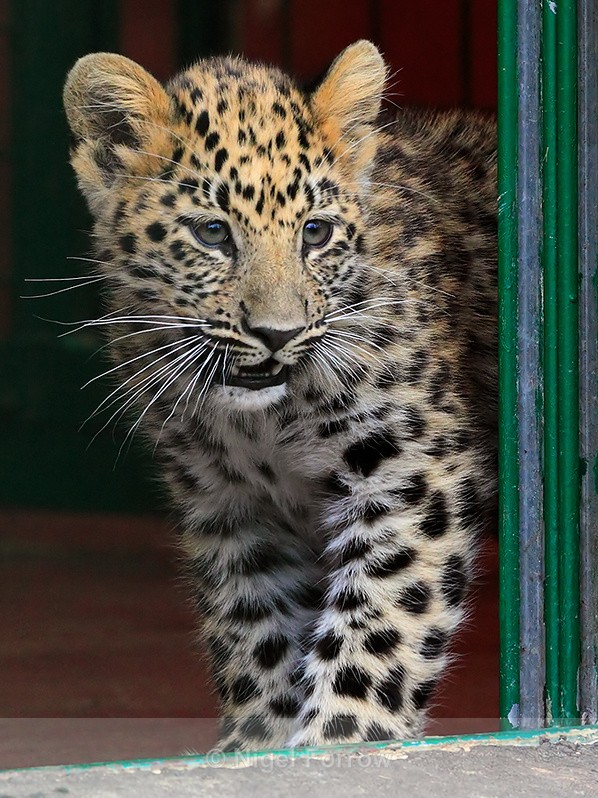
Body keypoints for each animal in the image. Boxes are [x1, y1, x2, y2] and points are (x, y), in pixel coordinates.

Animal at [63, 40, 497, 751]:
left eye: (315, 233)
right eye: (212, 234)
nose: (277, 333)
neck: (263, 423)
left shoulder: (414, 472)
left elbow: (384, 616)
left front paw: (344, 736)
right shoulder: (227, 502)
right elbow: (254, 627)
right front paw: (255, 743)